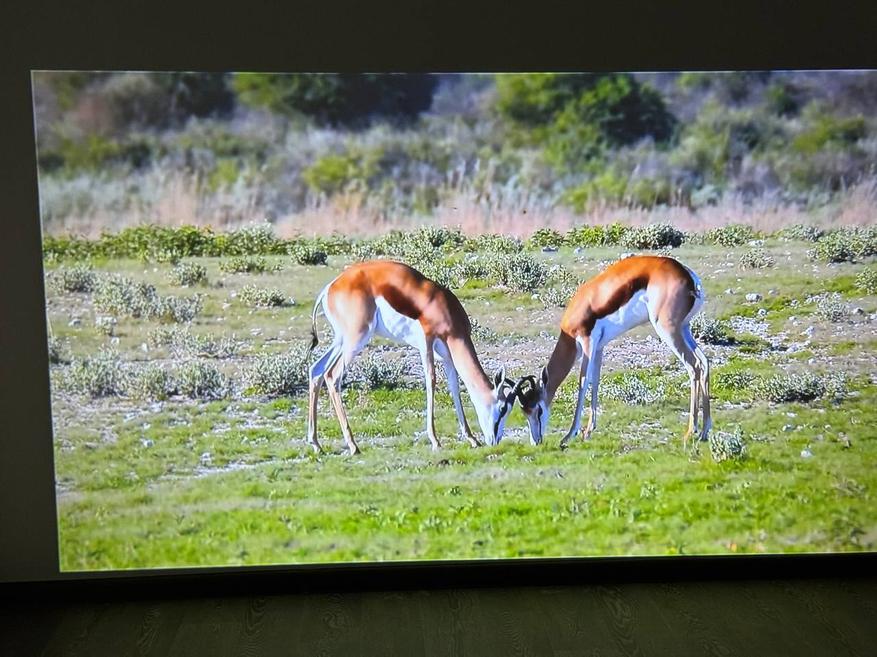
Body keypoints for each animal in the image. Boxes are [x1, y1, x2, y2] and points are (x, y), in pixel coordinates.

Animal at [306, 260, 518, 455]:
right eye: (502, 408)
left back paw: (316, 444)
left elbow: (454, 386)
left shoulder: (447, 355)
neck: (444, 309)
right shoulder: (426, 341)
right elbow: (431, 381)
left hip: (341, 340)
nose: (495, 440)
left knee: (316, 370)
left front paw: (472, 438)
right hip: (356, 338)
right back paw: (352, 445)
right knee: (332, 375)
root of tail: (331, 287)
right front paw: (435, 441)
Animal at [514, 255, 711, 449]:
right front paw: (588, 431)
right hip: (684, 328)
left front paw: (569, 436)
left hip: (667, 330)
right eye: (525, 412)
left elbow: (583, 383)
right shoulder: (599, 347)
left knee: (693, 366)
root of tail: (688, 275)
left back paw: (690, 432)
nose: (536, 441)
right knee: (704, 362)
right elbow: (595, 381)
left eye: (538, 409)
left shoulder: (587, 342)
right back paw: (704, 432)